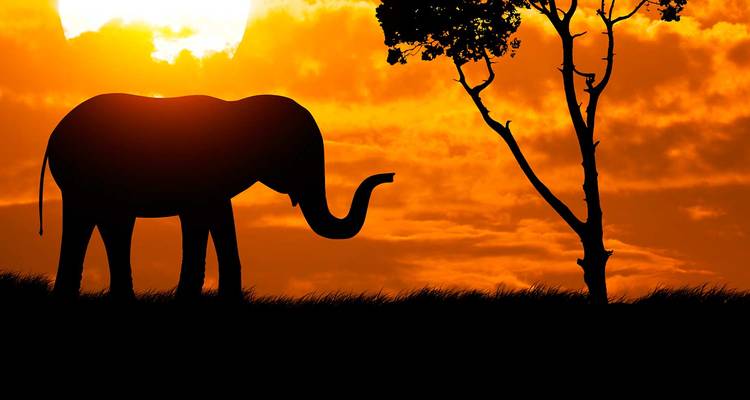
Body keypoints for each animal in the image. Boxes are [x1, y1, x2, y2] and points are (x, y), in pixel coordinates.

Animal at [39, 93, 394, 300]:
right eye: (302, 154)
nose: (388, 176)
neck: (242, 108)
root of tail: (53, 134)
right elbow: (199, 220)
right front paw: (187, 300)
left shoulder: (217, 186)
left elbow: (222, 217)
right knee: (110, 224)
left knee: (94, 223)